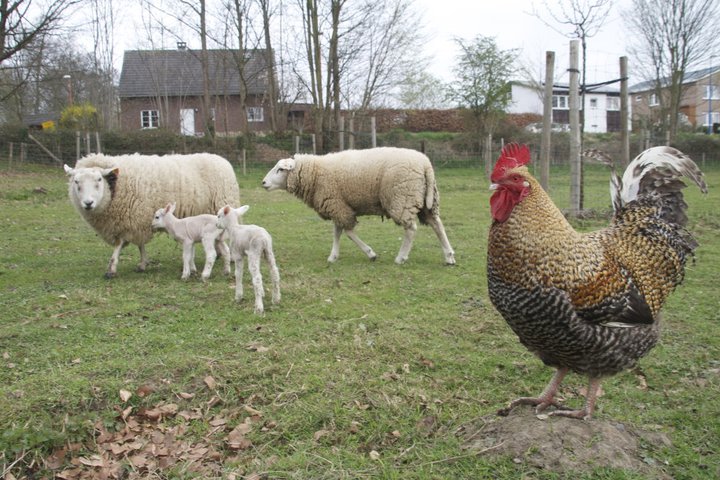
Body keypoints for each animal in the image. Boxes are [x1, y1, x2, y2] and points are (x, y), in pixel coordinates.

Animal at [65, 152, 239, 278]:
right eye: (76, 182)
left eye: (99, 179)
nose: (88, 203)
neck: (116, 187)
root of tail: (221, 159)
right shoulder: (133, 220)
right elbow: (139, 245)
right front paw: (142, 263)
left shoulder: (134, 219)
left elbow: (121, 245)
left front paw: (112, 268)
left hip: (223, 203)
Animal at [262, 147, 456, 264]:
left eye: (280, 169)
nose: (263, 182)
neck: (314, 174)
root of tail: (426, 165)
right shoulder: (337, 204)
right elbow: (337, 232)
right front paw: (333, 256)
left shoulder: (338, 205)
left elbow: (347, 232)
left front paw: (370, 253)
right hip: (425, 201)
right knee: (437, 224)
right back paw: (449, 256)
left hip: (402, 198)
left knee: (411, 229)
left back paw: (401, 257)